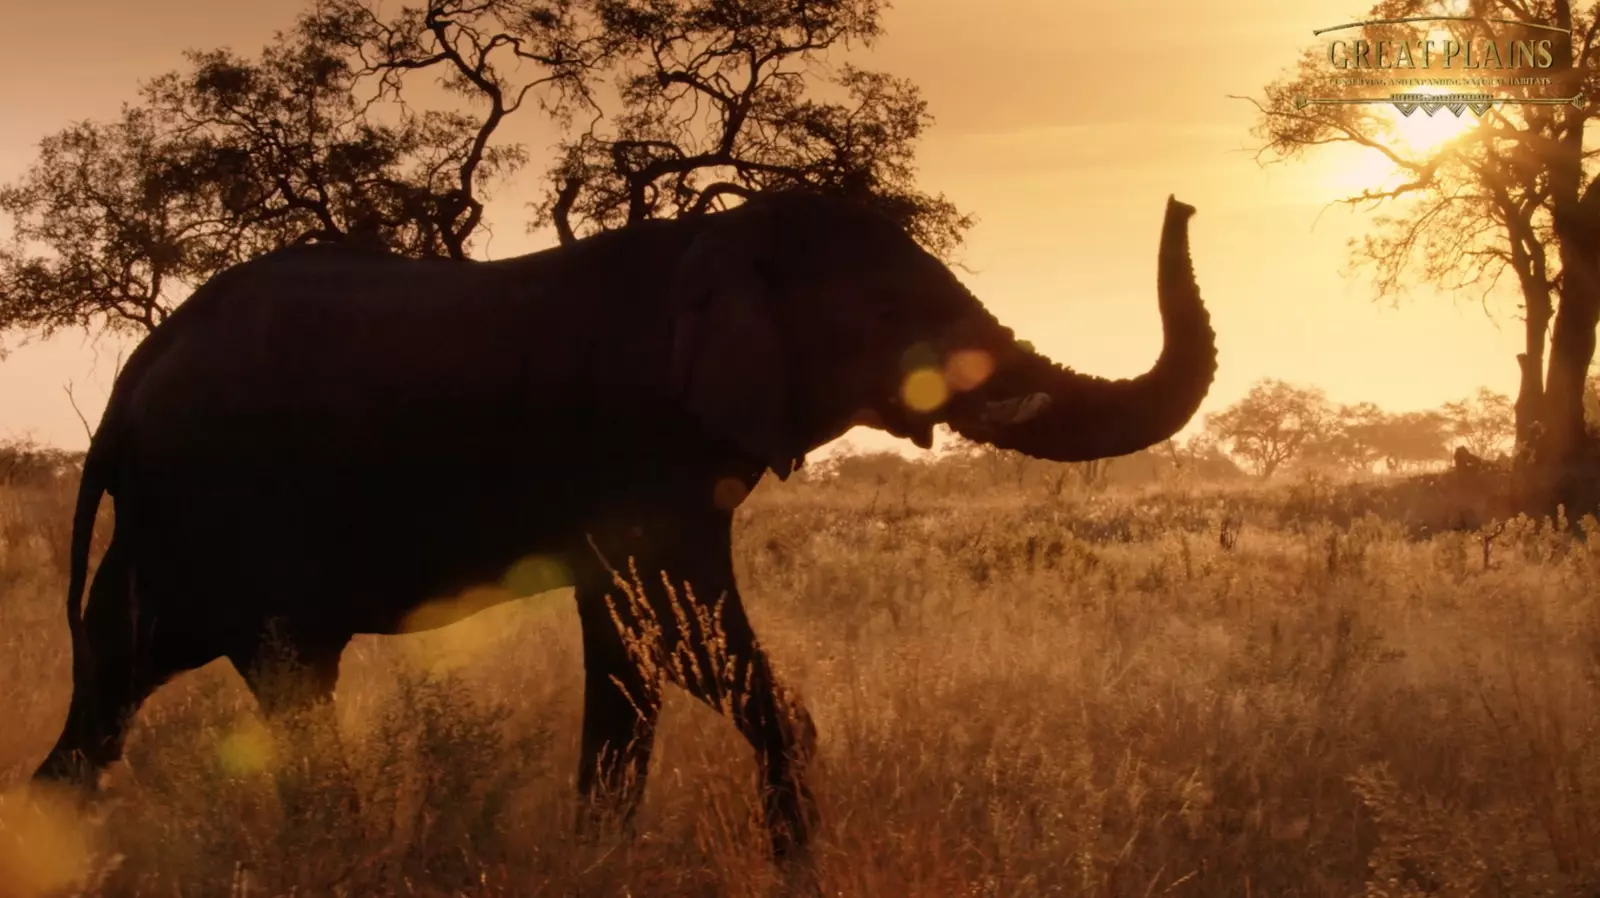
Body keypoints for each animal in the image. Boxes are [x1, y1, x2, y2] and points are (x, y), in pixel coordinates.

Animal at [34, 188, 1209, 864]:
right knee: (253, 682)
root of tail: (136, 374)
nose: (1183, 201)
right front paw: (787, 866)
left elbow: (635, 654)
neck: (716, 243)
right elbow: (688, 640)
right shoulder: (642, 448)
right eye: (894, 322)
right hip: (215, 502)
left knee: (121, 683)